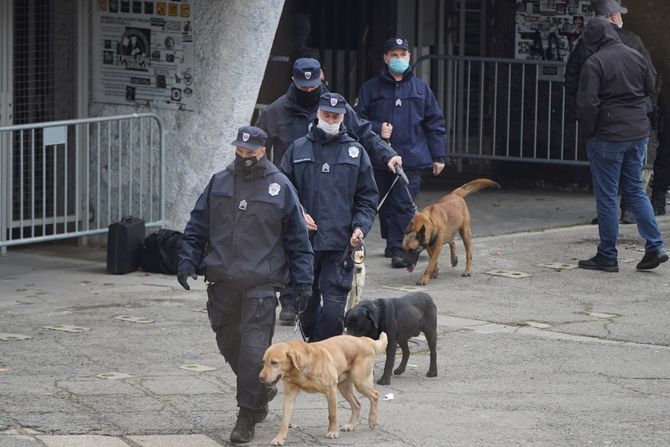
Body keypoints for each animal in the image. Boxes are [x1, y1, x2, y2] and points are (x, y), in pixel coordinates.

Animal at [262, 332, 392, 444]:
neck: (301, 369)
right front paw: (279, 438)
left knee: (375, 395)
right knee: (357, 404)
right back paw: (351, 425)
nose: (260, 377)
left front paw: (333, 432)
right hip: (344, 387)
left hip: (360, 382)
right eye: (264, 362)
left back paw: (372, 419)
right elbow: (284, 420)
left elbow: (332, 414)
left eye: (274, 362)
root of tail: (365, 339)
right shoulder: (289, 396)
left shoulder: (330, 391)